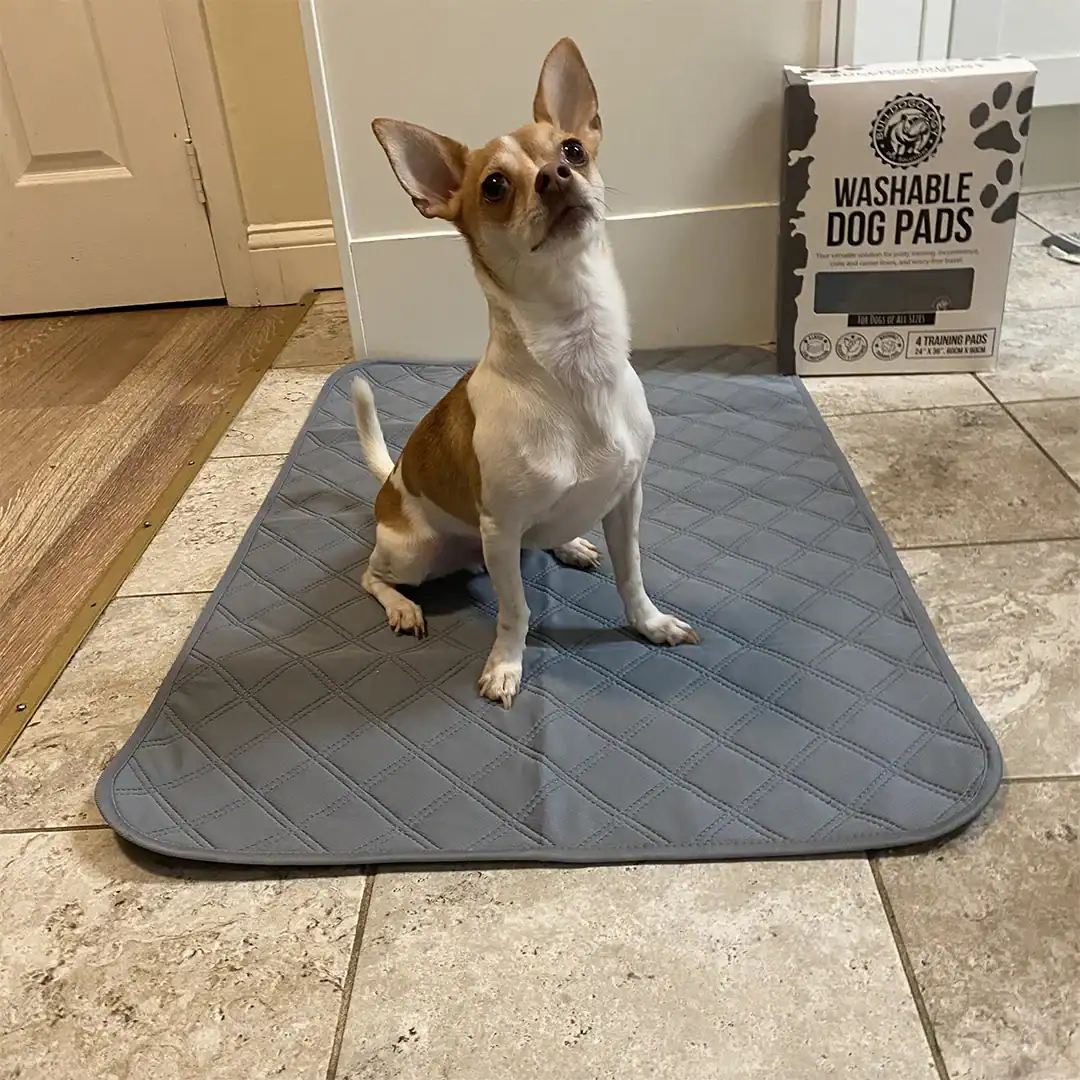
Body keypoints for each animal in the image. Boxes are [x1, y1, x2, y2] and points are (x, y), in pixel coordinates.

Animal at [353, 36, 699, 708]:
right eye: (493, 186)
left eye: (572, 150)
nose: (555, 175)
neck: (577, 353)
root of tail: (392, 483)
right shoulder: (501, 527)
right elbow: (516, 612)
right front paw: (506, 666)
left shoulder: (627, 500)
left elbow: (632, 576)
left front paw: (650, 624)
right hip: (417, 550)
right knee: (370, 576)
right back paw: (401, 608)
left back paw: (568, 541)